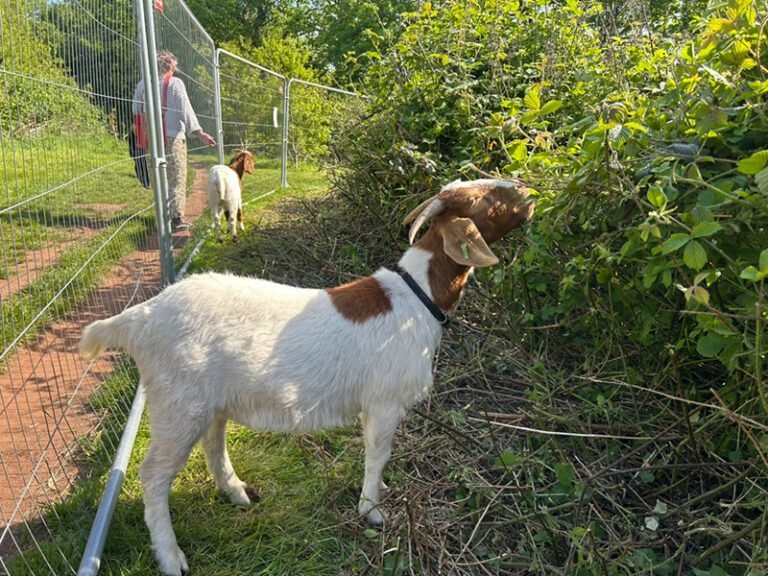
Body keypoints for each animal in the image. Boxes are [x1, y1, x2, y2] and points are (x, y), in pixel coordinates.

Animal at [79, 178, 535, 576]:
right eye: (487, 199)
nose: (527, 190)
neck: (417, 297)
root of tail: (140, 318)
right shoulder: (384, 402)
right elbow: (378, 454)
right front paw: (372, 511)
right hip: (176, 402)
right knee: (153, 475)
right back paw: (172, 557)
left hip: (208, 400)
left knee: (213, 442)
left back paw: (237, 492)